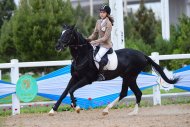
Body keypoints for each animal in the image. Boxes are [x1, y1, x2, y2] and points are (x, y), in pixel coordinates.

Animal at [48, 24, 179, 115]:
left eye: (68, 34)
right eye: (61, 33)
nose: (57, 46)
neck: (82, 55)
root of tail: (143, 55)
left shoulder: (87, 79)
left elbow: (71, 90)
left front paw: (76, 106)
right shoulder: (74, 77)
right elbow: (65, 92)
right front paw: (53, 110)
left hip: (129, 77)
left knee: (130, 93)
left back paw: (118, 111)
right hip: (127, 77)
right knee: (131, 93)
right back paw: (120, 111)